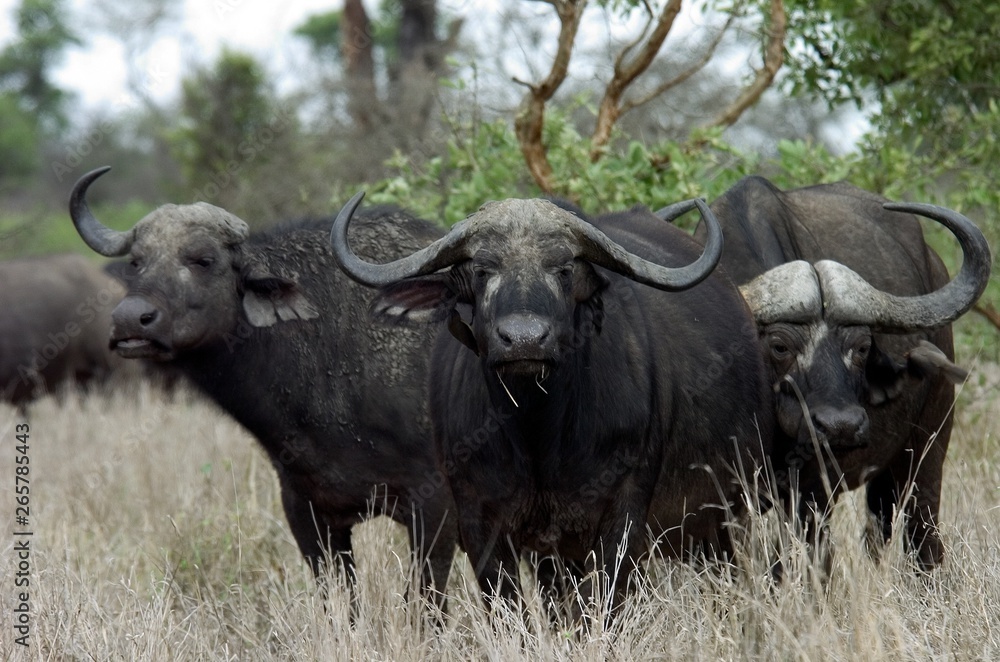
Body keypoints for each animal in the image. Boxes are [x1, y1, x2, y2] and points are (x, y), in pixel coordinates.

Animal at [68, 166, 457, 609]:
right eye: (136, 262)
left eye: (203, 260)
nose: (130, 320)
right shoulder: (306, 509)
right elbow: (340, 599)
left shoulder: (434, 506)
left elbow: (425, 602)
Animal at [331, 193, 773, 616]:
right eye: (482, 270)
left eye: (563, 269)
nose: (524, 340)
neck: (536, 434)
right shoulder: (479, 521)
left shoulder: (623, 514)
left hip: (723, 511)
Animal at [676, 177, 992, 568]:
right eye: (779, 346)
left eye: (861, 347)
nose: (841, 426)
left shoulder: (813, 491)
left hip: (929, 445)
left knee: (923, 535)